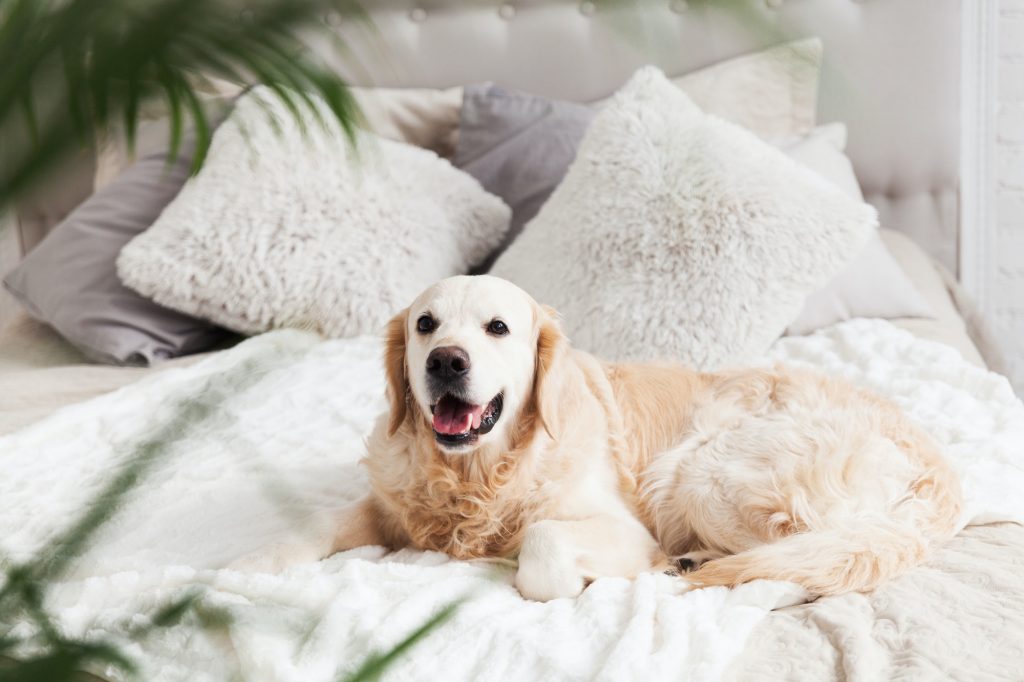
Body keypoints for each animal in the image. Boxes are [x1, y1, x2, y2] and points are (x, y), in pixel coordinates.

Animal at [243, 274, 962, 598]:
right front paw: (251, 564)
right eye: (425, 324)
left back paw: (688, 562)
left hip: (700, 471)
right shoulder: (393, 506)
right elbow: (316, 522)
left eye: (497, 328)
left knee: (793, 558)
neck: (477, 474)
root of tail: (939, 474)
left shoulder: (619, 526)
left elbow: (542, 548)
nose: (445, 361)